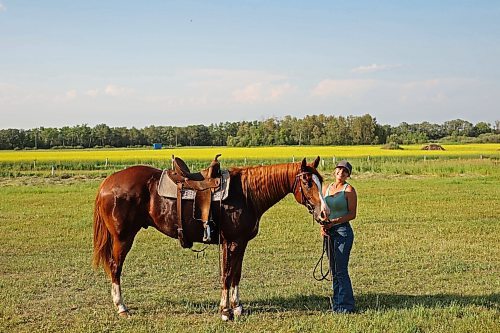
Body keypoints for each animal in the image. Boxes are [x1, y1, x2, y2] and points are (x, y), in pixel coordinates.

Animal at [92, 156, 330, 320]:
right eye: (308, 183)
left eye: (320, 180)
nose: (324, 213)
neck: (246, 194)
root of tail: (108, 182)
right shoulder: (231, 242)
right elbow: (226, 275)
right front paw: (225, 311)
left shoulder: (240, 243)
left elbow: (236, 274)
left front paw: (237, 306)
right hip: (123, 238)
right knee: (115, 267)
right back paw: (121, 307)